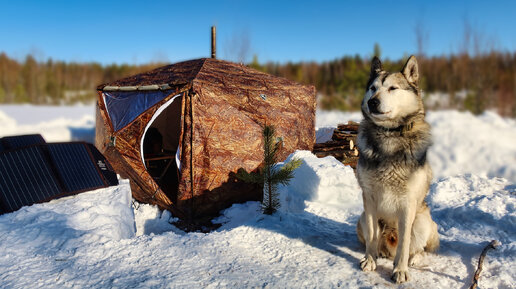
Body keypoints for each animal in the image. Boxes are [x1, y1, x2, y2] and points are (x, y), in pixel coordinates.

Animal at [356, 55, 438, 282]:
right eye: (373, 88)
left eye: (392, 88)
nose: (372, 102)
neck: (389, 134)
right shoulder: (369, 199)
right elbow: (372, 236)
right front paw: (370, 260)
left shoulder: (407, 203)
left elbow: (405, 243)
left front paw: (400, 270)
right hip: (361, 218)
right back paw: (379, 253)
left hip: (423, 221)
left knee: (417, 248)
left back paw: (414, 259)